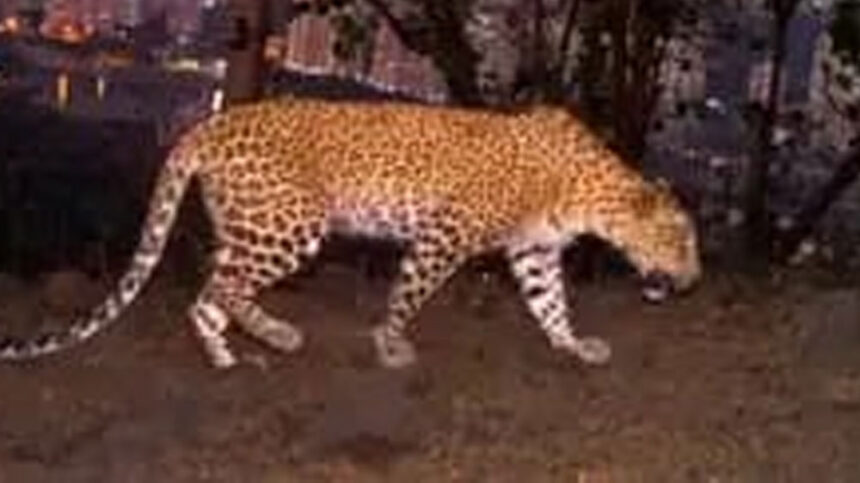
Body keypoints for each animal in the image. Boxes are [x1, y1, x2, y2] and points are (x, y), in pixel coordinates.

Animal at [0, 98, 701, 369]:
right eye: (682, 243)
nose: (694, 280)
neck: (587, 193)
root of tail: (210, 123)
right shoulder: (445, 233)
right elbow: (410, 292)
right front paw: (390, 344)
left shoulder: (533, 251)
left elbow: (550, 303)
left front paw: (574, 345)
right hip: (293, 224)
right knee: (219, 287)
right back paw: (272, 336)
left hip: (247, 224)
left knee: (212, 290)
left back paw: (231, 351)